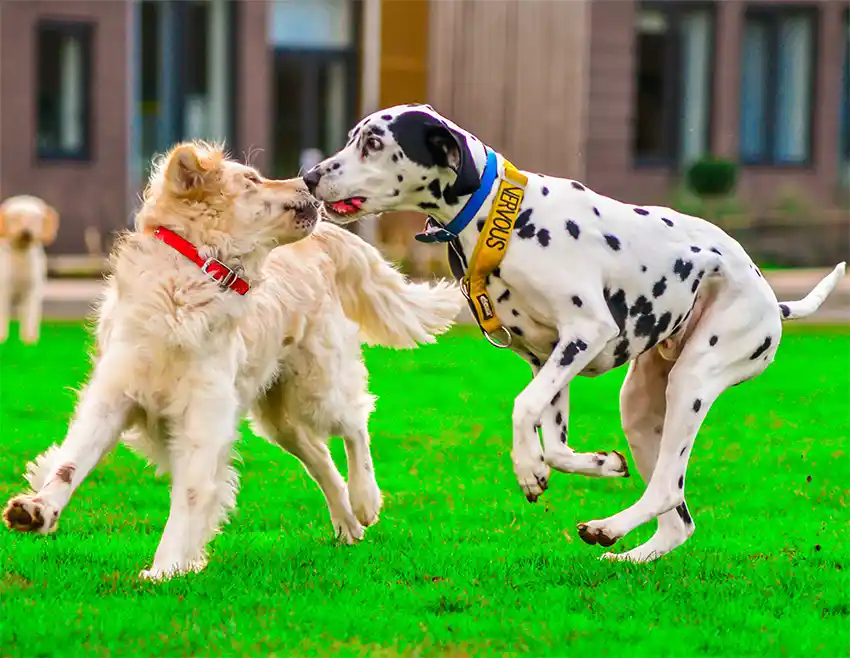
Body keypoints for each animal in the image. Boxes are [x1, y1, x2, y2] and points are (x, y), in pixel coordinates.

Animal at [0, 193, 58, 344]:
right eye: (15, 218)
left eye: (36, 218)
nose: (26, 232)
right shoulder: (3, 287)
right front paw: (2, 339)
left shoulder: (34, 288)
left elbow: (30, 313)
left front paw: (29, 341)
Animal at [300, 102, 840, 560]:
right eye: (352, 138)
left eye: (373, 142)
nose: (309, 176)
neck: (502, 217)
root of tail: (773, 300)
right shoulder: (547, 359)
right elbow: (556, 446)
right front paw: (592, 464)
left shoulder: (585, 333)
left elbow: (522, 408)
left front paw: (527, 468)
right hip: (640, 404)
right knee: (676, 517)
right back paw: (625, 553)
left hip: (691, 383)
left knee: (667, 486)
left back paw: (609, 527)